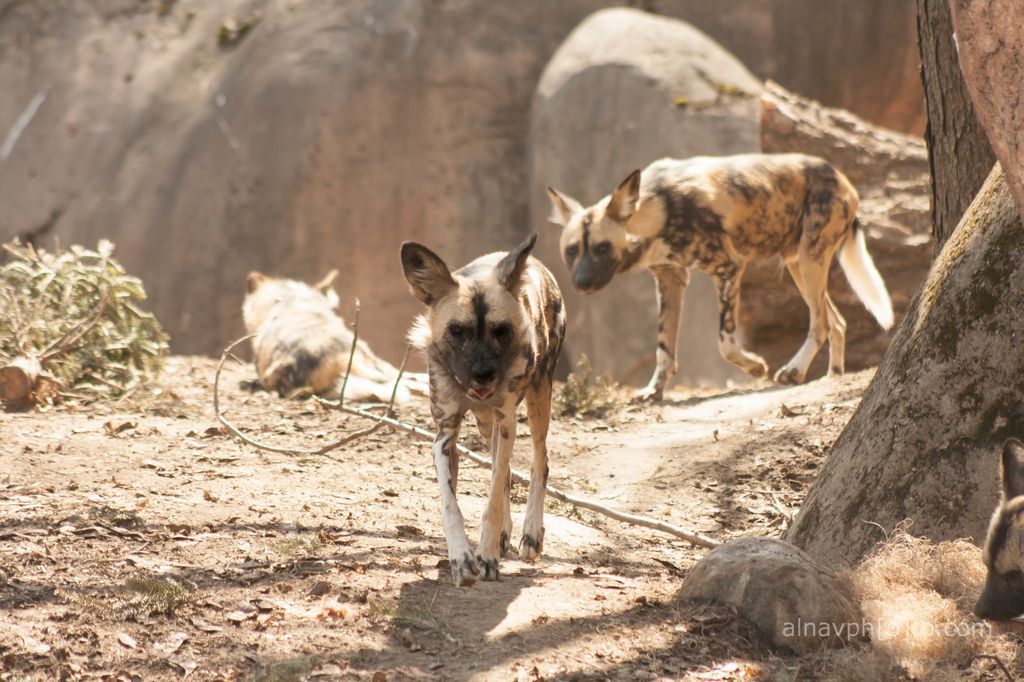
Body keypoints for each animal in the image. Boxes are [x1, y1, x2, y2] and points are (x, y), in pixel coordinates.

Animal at [399, 232, 565, 585]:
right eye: (456, 331)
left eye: (501, 330)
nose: (483, 373)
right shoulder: (445, 434)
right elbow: (453, 505)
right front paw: (462, 558)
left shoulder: (507, 422)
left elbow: (491, 502)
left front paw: (486, 556)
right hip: (487, 424)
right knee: (504, 473)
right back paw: (505, 535)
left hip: (537, 399)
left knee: (539, 461)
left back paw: (531, 534)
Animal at [548, 152, 892, 399]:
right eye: (572, 250)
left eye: (603, 247)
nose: (581, 284)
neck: (659, 209)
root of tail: (841, 176)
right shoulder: (670, 279)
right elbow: (664, 346)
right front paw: (654, 391)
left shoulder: (728, 268)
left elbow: (725, 345)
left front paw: (756, 367)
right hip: (800, 266)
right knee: (836, 321)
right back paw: (833, 374)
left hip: (810, 259)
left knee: (820, 323)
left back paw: (793, 371)